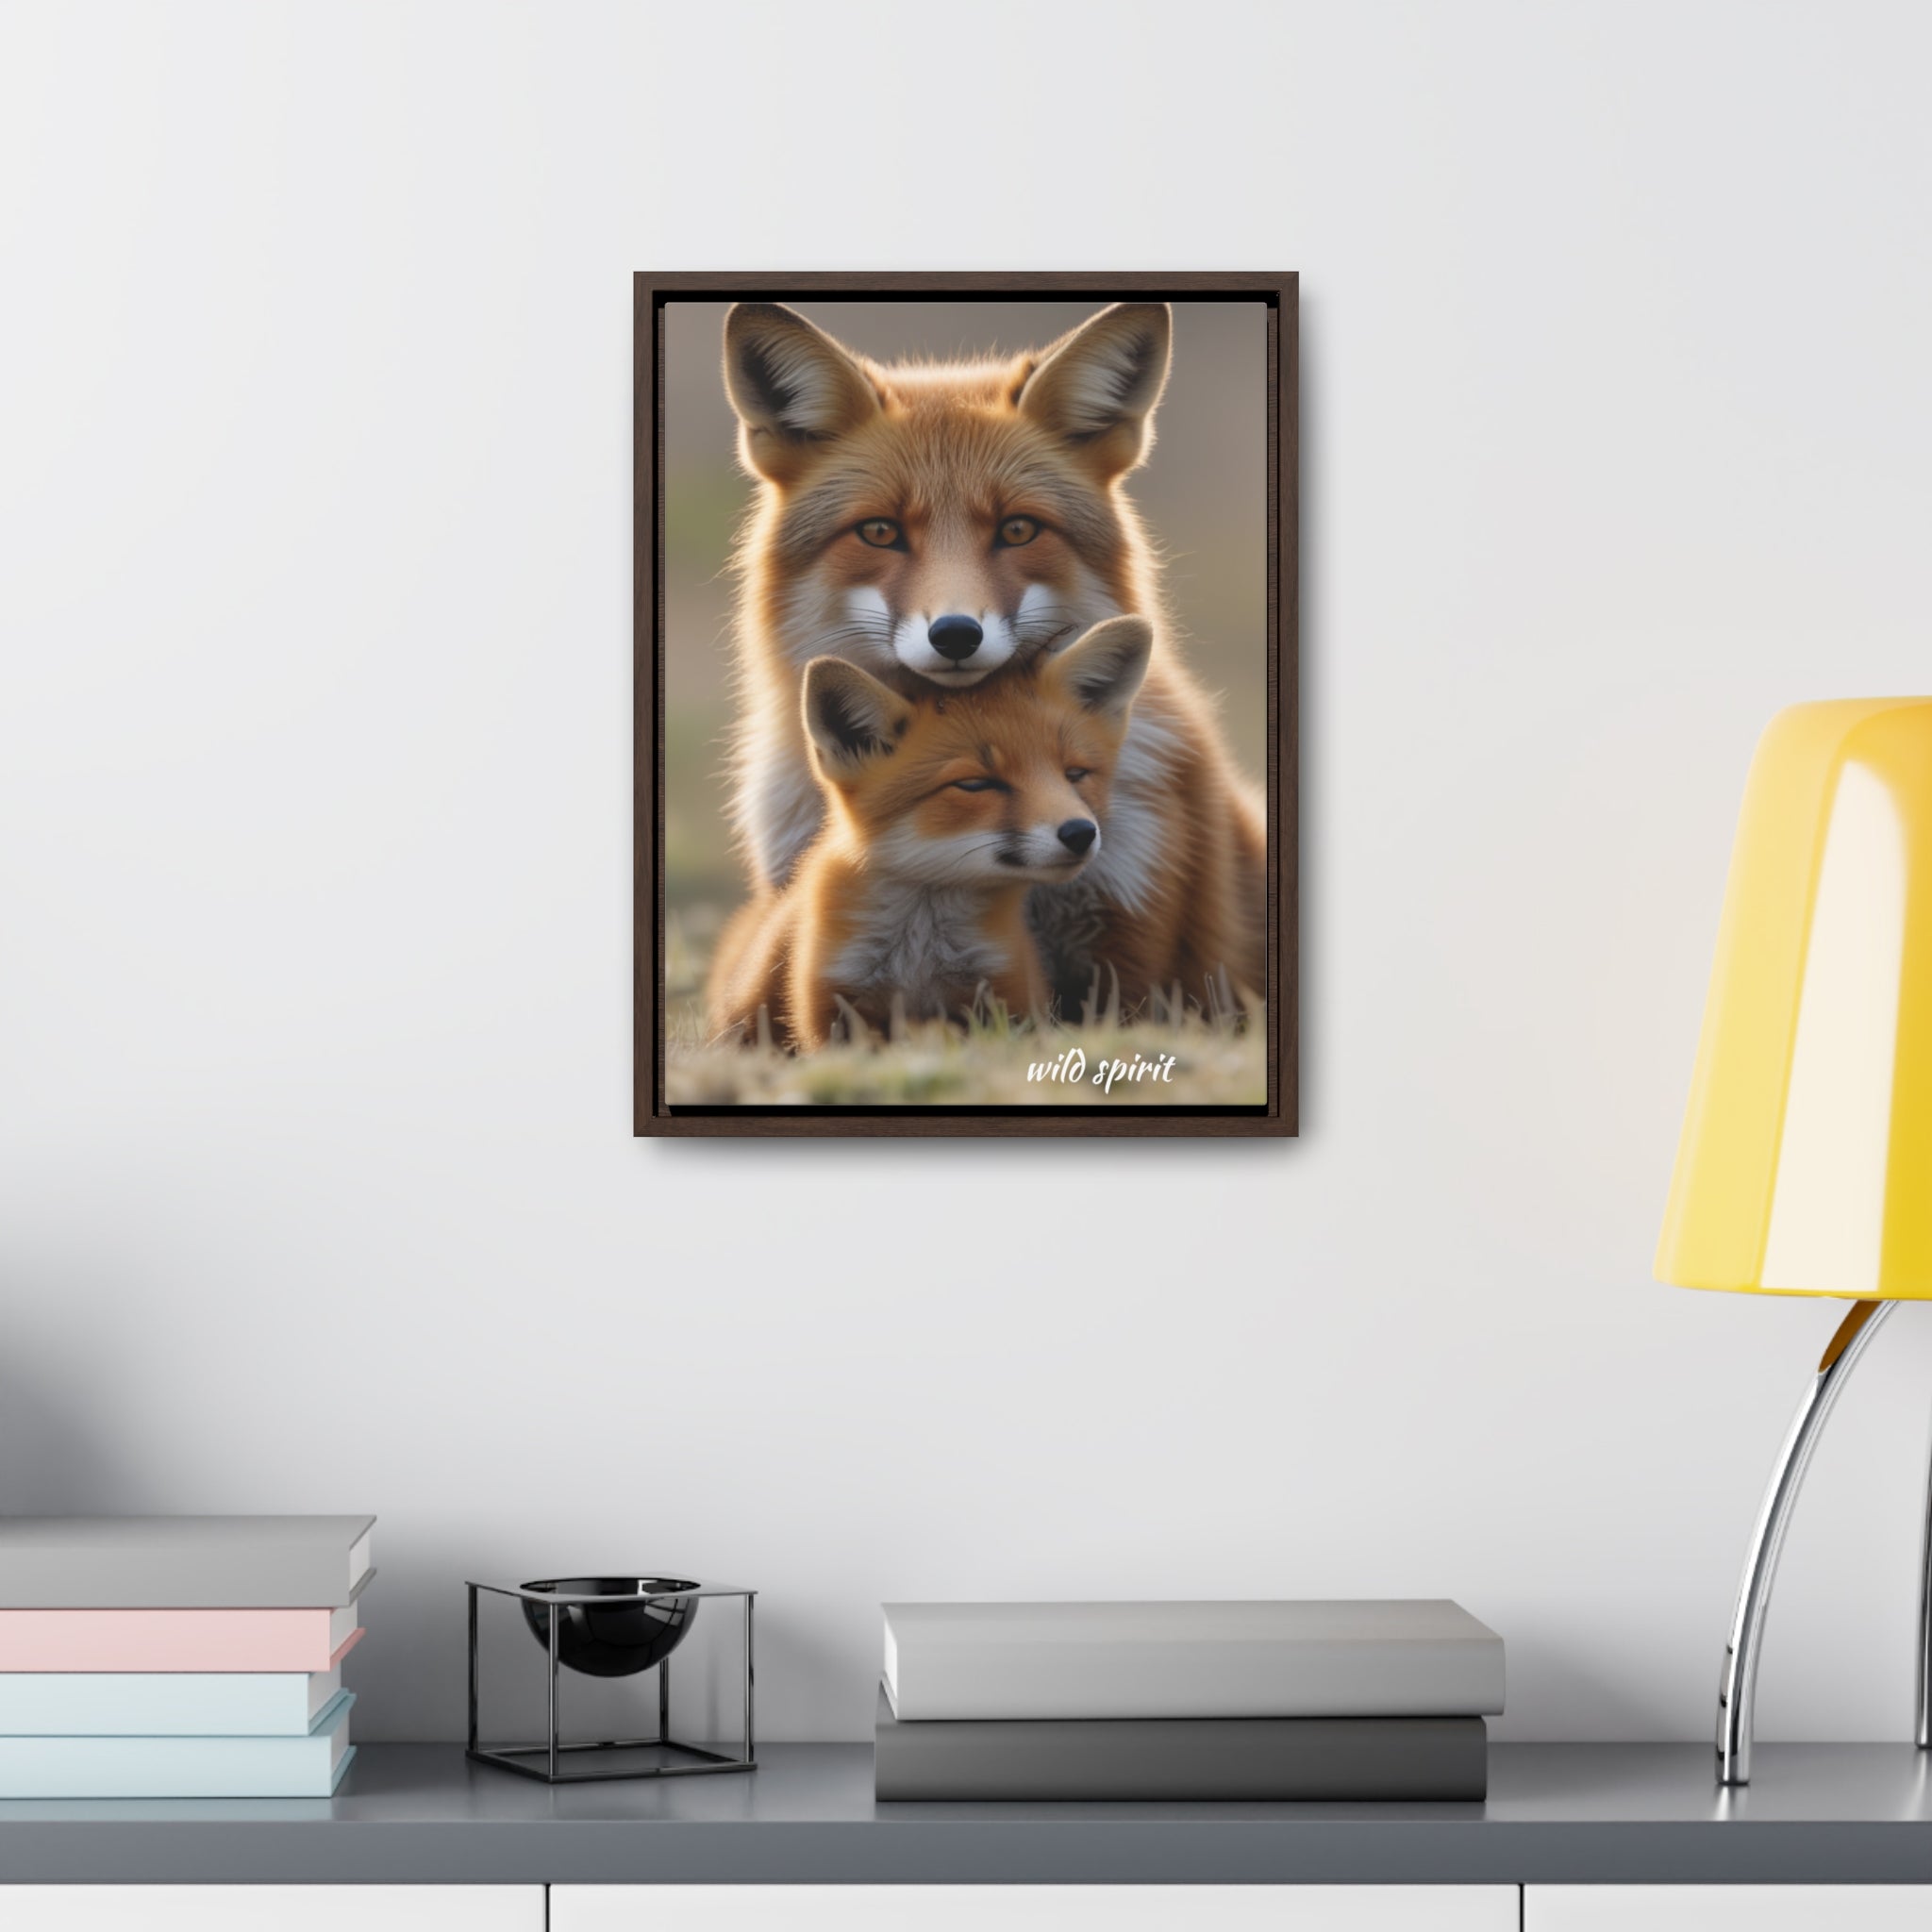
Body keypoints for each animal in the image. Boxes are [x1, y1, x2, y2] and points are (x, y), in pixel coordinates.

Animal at [707, 617, 1152, 1052]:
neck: (920, 953)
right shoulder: (832, 1006)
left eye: (1075, 774)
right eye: (975, 784)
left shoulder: (1006, 994)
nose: (1080, 833)